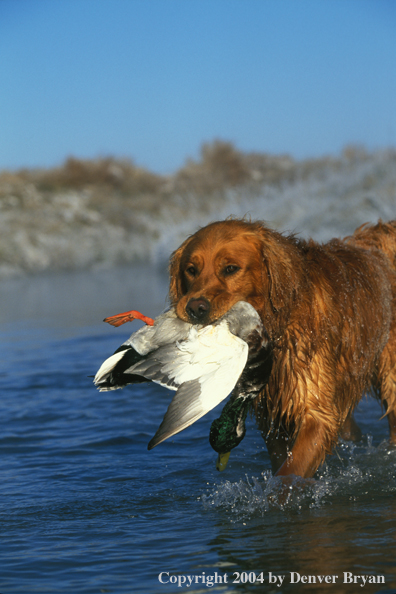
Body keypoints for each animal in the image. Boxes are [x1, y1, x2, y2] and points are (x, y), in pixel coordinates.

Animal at [169, 217, 396, 476]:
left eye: (230, 269)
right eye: (191, 270)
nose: (195, 308)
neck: (276, 325)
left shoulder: (315, 409)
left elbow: (290, 473)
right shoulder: (272, 414)